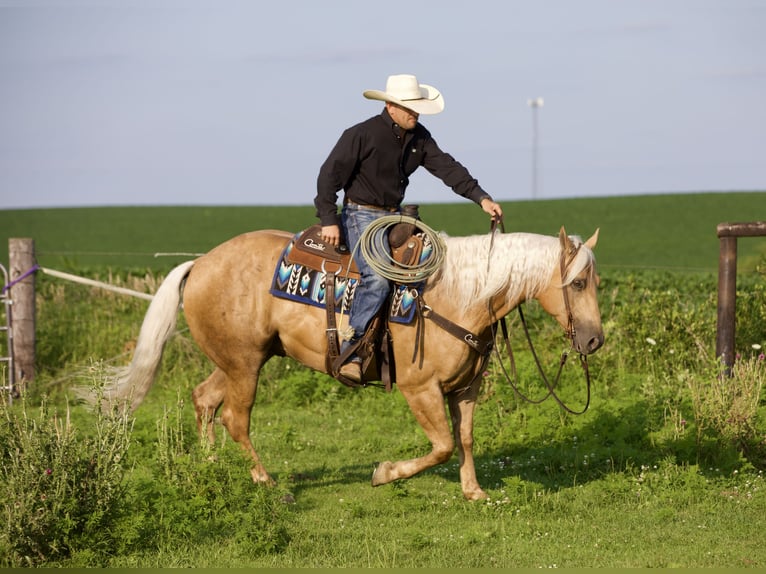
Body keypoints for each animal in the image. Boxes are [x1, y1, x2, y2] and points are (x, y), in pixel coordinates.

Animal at [103, 227, 608, 502]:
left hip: (240, 360)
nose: (594, 339)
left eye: (596, 281)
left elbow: (464, 440)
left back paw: (214, 469)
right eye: (577, 282)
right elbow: (442, 446)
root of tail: (201, 263)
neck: (458, 296)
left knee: (204, 399)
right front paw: (384, 473)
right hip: (244, 364)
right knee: (234, 418)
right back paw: (265, 482)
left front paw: (474, 491)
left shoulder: (466, 389)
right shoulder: (420, 389)